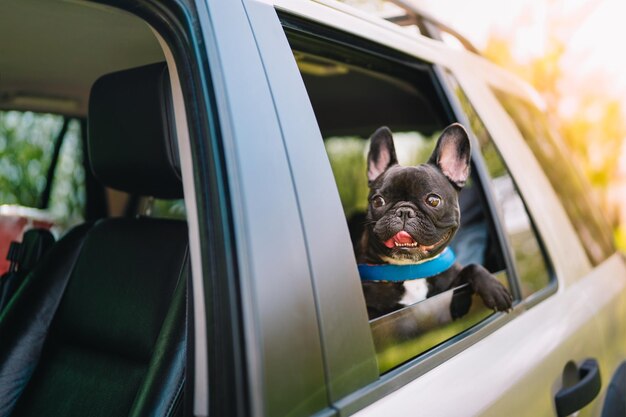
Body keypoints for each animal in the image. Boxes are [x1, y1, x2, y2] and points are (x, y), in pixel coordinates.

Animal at [358, 123, 510, 318]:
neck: (411, 269)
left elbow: (472, 267)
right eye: (378, 201)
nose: (404, 211)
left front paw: (493, 290)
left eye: (433, 200)